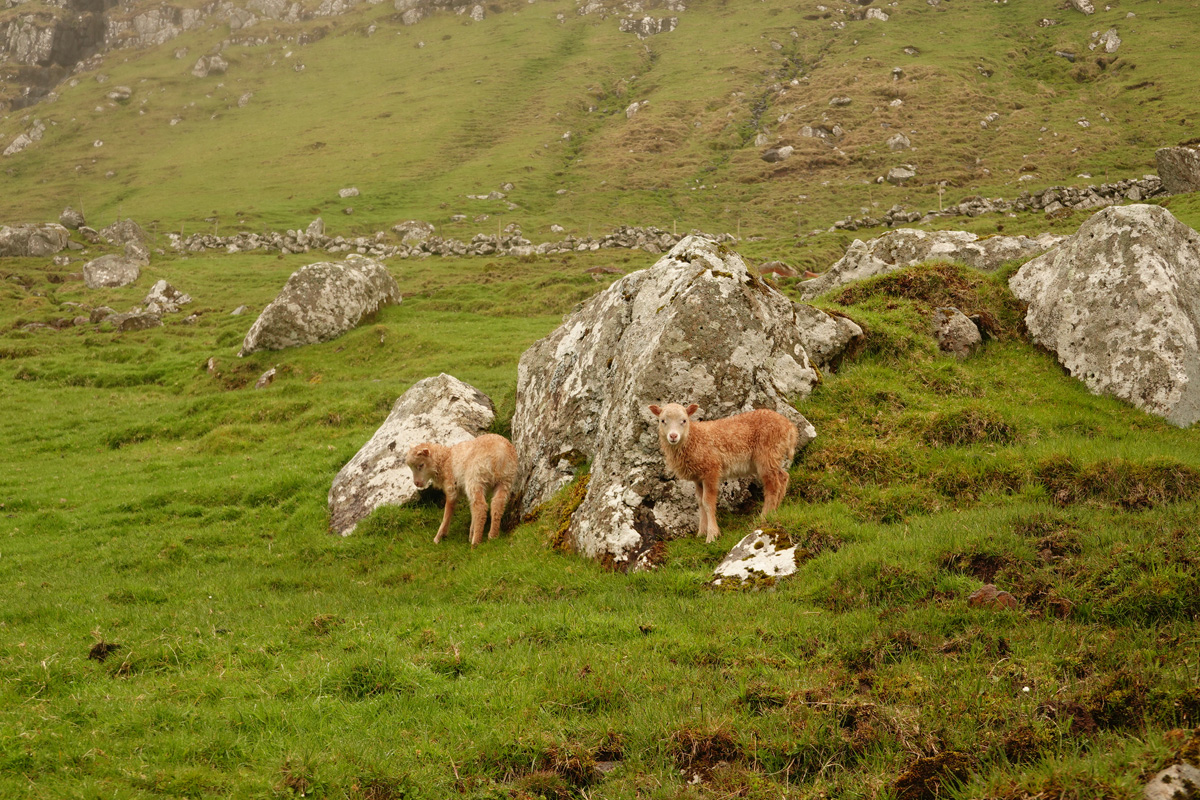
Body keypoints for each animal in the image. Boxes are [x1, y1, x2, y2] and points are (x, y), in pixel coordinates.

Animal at [648, 400, 796, 544]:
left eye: (684, 420)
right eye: (662, 420)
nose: (673, 436)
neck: (694, 438)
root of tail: (789, 426)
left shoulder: (711, 470)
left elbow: (707, 502)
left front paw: (712, 535)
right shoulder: (698, 477)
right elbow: (700, 502)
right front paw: (701, 532)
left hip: (767, 454)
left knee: (773, 486)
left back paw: (764, 517)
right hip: (774, 456)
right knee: (783, 477)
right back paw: (775, 511)